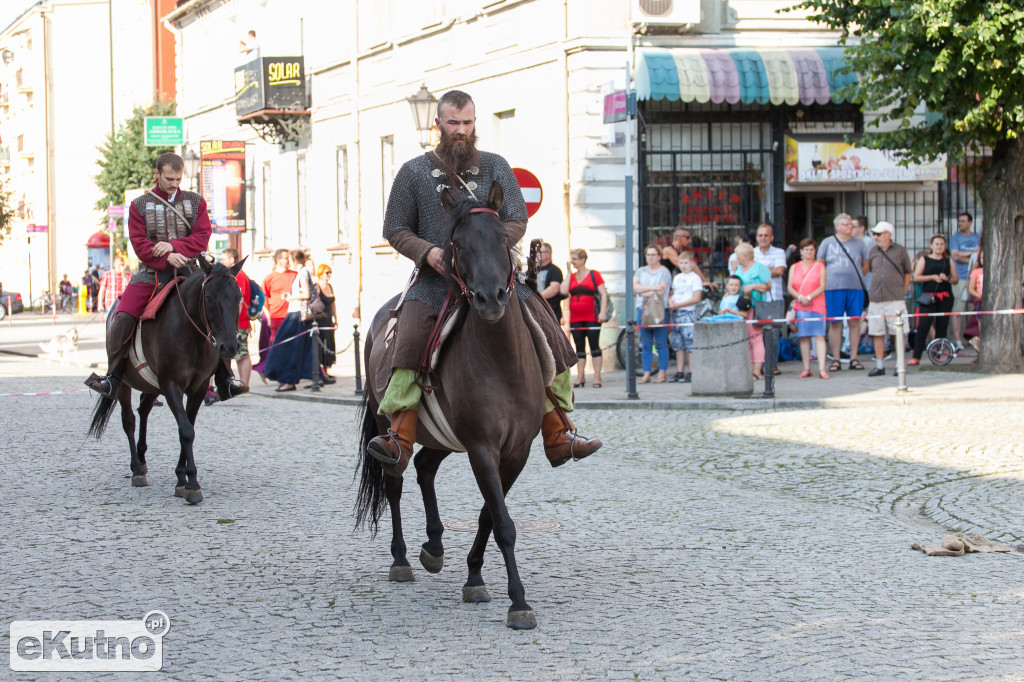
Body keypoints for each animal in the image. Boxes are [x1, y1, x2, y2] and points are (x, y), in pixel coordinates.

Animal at [87, 258, 243, 501]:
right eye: (208, 297)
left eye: (238, 297)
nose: (229, 347)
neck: (192, 335)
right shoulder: (171, 385)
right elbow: (186, 430)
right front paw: (192, 483)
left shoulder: (198, 389)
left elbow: (188, 427)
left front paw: (181, 477)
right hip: (123, 384)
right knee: (129, 420)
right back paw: (136, 469)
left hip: (151, 384)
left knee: (144, 410)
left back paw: (142, 460)